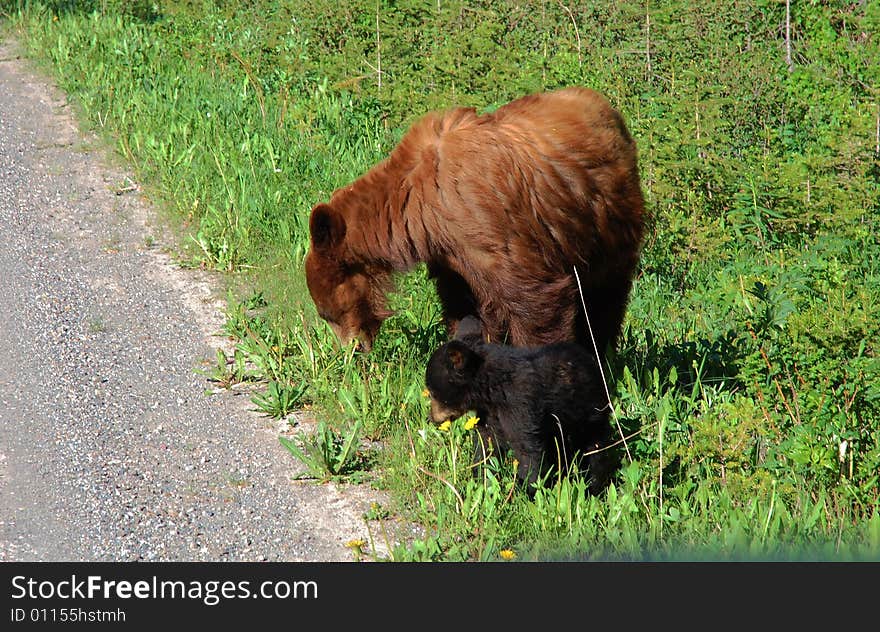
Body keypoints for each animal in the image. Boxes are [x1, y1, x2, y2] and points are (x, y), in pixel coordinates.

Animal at [306, 86, 644, 356]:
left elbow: (535, 297)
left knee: (605, 293)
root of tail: (607, 108)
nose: (354, 350)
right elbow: (464, 304)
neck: (419, 202)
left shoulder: (489, 226)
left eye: (327, 313)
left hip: (604, 221)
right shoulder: (451, 254)